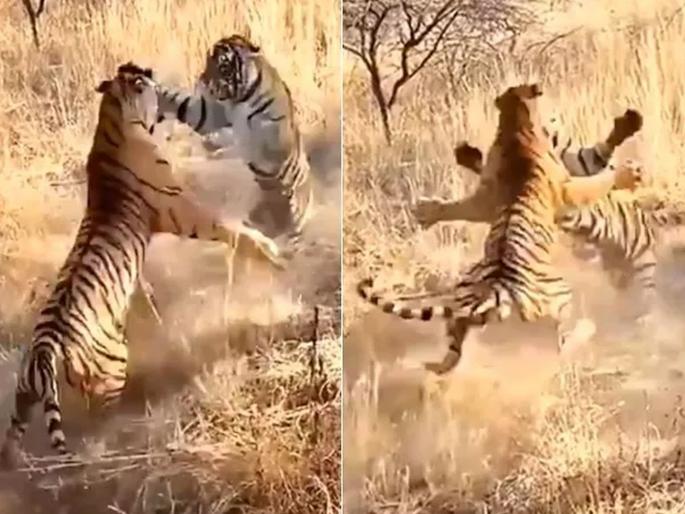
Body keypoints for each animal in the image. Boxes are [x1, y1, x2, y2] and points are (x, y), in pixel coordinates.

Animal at [0, 63, 284, 468]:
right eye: (139, 78)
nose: (147, 70)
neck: (113, 119)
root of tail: (42, 355)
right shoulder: (184, 211)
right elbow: (232, 229)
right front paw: (269, 250)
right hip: (111, 368)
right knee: (98, 422)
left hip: (23, 398)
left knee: (12, 438)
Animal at [154, 34, 314, 254]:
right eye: (208, 61)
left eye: (223, 66)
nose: (202, 82)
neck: (241, 98)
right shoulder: (210, 113)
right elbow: (181, 103)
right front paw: (150, 87)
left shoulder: (271, 141)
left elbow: (243, 141)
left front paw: (215, 142)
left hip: (293, 214)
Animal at [357, 84, 641, 375]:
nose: (557, 124)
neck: (515, 125)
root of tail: (495, 292)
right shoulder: (567, 187)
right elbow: (596, 182)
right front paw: (627, 174)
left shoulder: (485, 198)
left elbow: (462, 206)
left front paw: (428, 210)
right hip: (560, 295)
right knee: (560, 343)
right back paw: (584, 332)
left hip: (462, 307)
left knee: (455, 346)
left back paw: (435, 367)